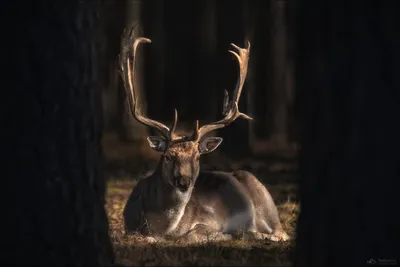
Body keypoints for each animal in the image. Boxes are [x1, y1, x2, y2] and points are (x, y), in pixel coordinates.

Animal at [120, 32, 290, 244]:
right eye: (167, 156)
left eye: (197, 157)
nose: (184, 182)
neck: (164, 228)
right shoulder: (129, 226)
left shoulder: (210, 220)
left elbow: (189, 237)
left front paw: (223, 235)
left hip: (266, 202)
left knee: (281, 233)